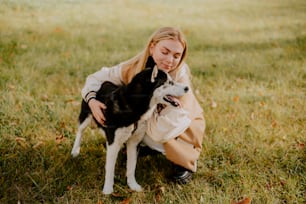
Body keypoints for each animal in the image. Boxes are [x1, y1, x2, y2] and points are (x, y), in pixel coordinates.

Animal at [71, 65, 189, 194]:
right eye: (169, 82)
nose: (187, 87)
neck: (134, 107)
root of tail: (105, 82)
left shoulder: (134, 142)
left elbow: (131, 167)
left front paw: (132, 185)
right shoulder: (113, 142)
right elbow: (110, 168)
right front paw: (108, 189)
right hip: (86, 116)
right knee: (80, 130)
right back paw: (75, 150)